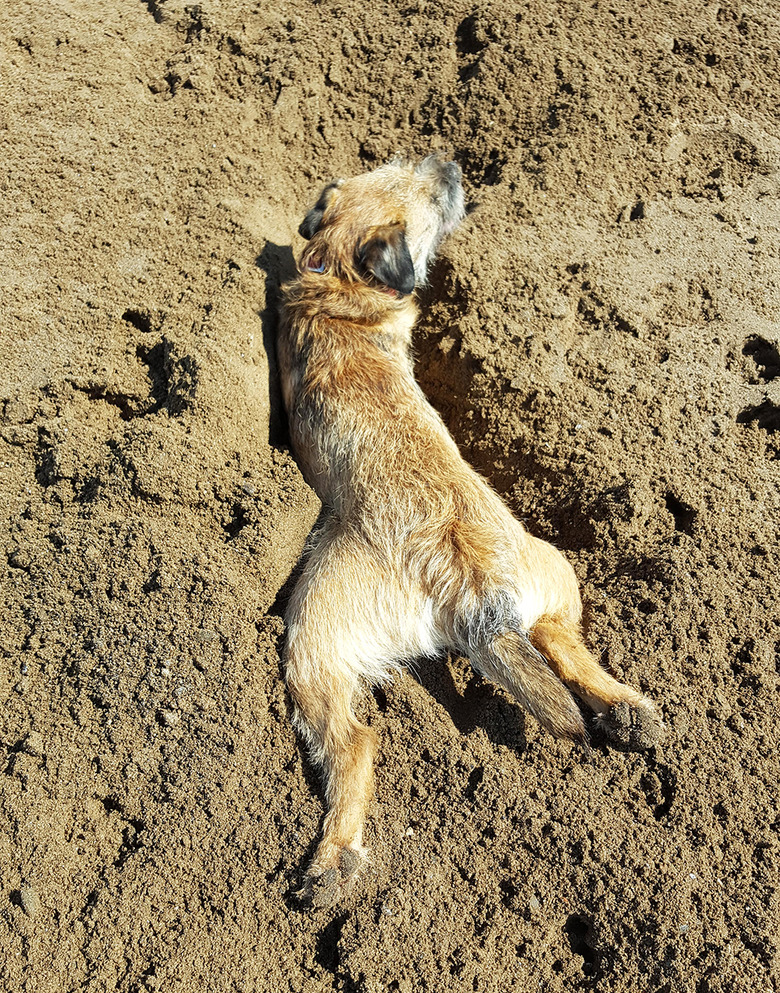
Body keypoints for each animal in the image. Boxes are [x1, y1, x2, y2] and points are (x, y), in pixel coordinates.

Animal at [278, 155, 660, 908]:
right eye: (429, 189)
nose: (451, 162)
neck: (339, 277)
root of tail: (473, 588)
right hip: (551, 565)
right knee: (561, 639)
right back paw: (625, 709)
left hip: (312, 634)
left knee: (357, 741)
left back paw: (335, 859)